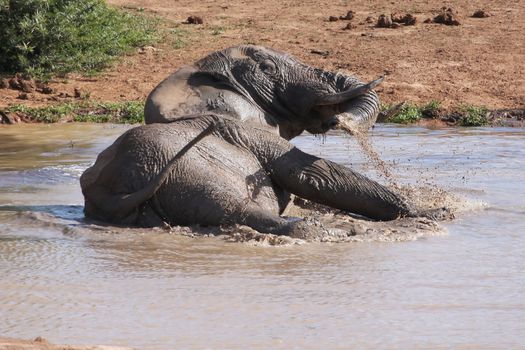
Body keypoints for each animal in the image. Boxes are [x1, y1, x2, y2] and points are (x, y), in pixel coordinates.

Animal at [81, 44, 446, 235]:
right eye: (268, 68)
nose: (337, 120)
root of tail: (117, 194)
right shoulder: (245, 131)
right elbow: (313, 175)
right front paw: (433, 213)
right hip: (184, 174)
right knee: (234, 206)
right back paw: (315, 229)